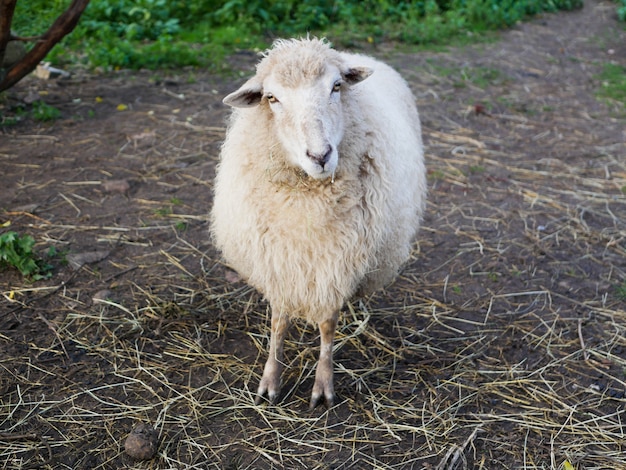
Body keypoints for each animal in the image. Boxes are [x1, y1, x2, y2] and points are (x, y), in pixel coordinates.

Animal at [210, 38, 424, 410]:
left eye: (336, 86)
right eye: (272, 97)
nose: (320, 156)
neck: (308, 201)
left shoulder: (336, 259)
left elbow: (327, 324)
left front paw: (323, 385)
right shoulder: (278, 259)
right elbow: (278, 321)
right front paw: (270, 380)